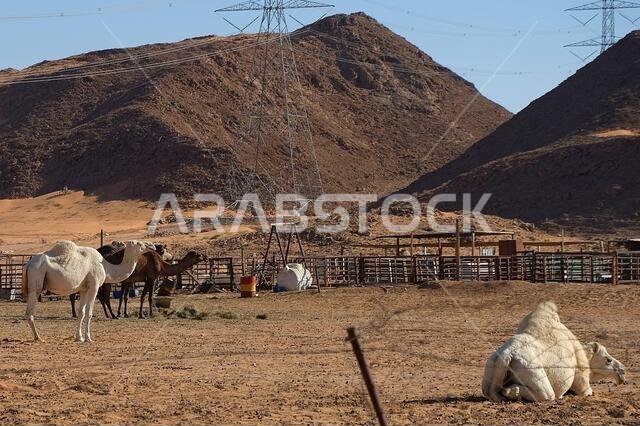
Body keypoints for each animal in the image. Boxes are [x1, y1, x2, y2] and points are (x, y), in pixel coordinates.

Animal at [22, 240, 151, 342]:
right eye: (139, 243)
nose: (152, 245)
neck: (106, 267)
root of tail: (28, 264)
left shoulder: (84, 289)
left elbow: (81, 312)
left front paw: (79, 337)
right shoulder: (94, 286)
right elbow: (89, 312)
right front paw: (88, 338)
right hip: (36, 282)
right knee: (29, 313)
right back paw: (38, 337)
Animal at [482, 301, 627, 402]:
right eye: (608, 360)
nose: (623, 370)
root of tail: (507, 354)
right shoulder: (582, 380)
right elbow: (586, 391)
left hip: (491, 365)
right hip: (531, 368)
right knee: (546, 395)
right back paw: (512, 392)